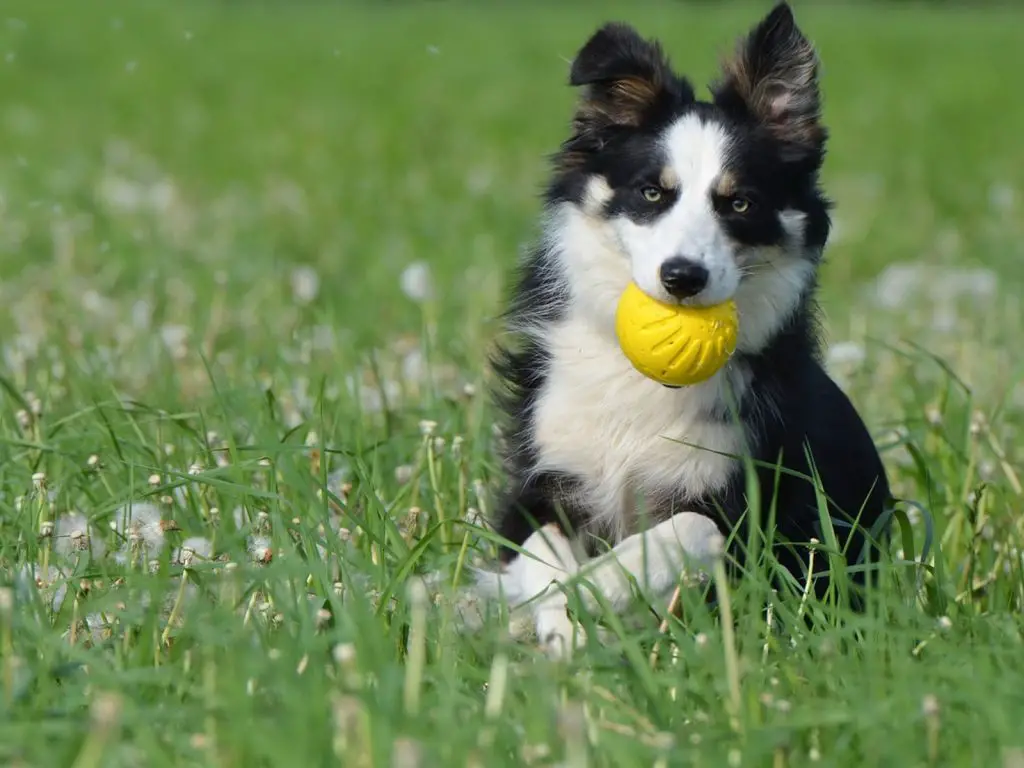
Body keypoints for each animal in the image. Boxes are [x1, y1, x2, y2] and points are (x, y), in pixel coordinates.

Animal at [475, 3, 892, 659]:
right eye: (652, 192)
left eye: (740, 203)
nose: (682, 277)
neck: (639, 382)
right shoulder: (541, 479)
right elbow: (540, 553)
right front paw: (560, 619)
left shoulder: (747, 510)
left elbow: (687, 529)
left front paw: (602, 587)